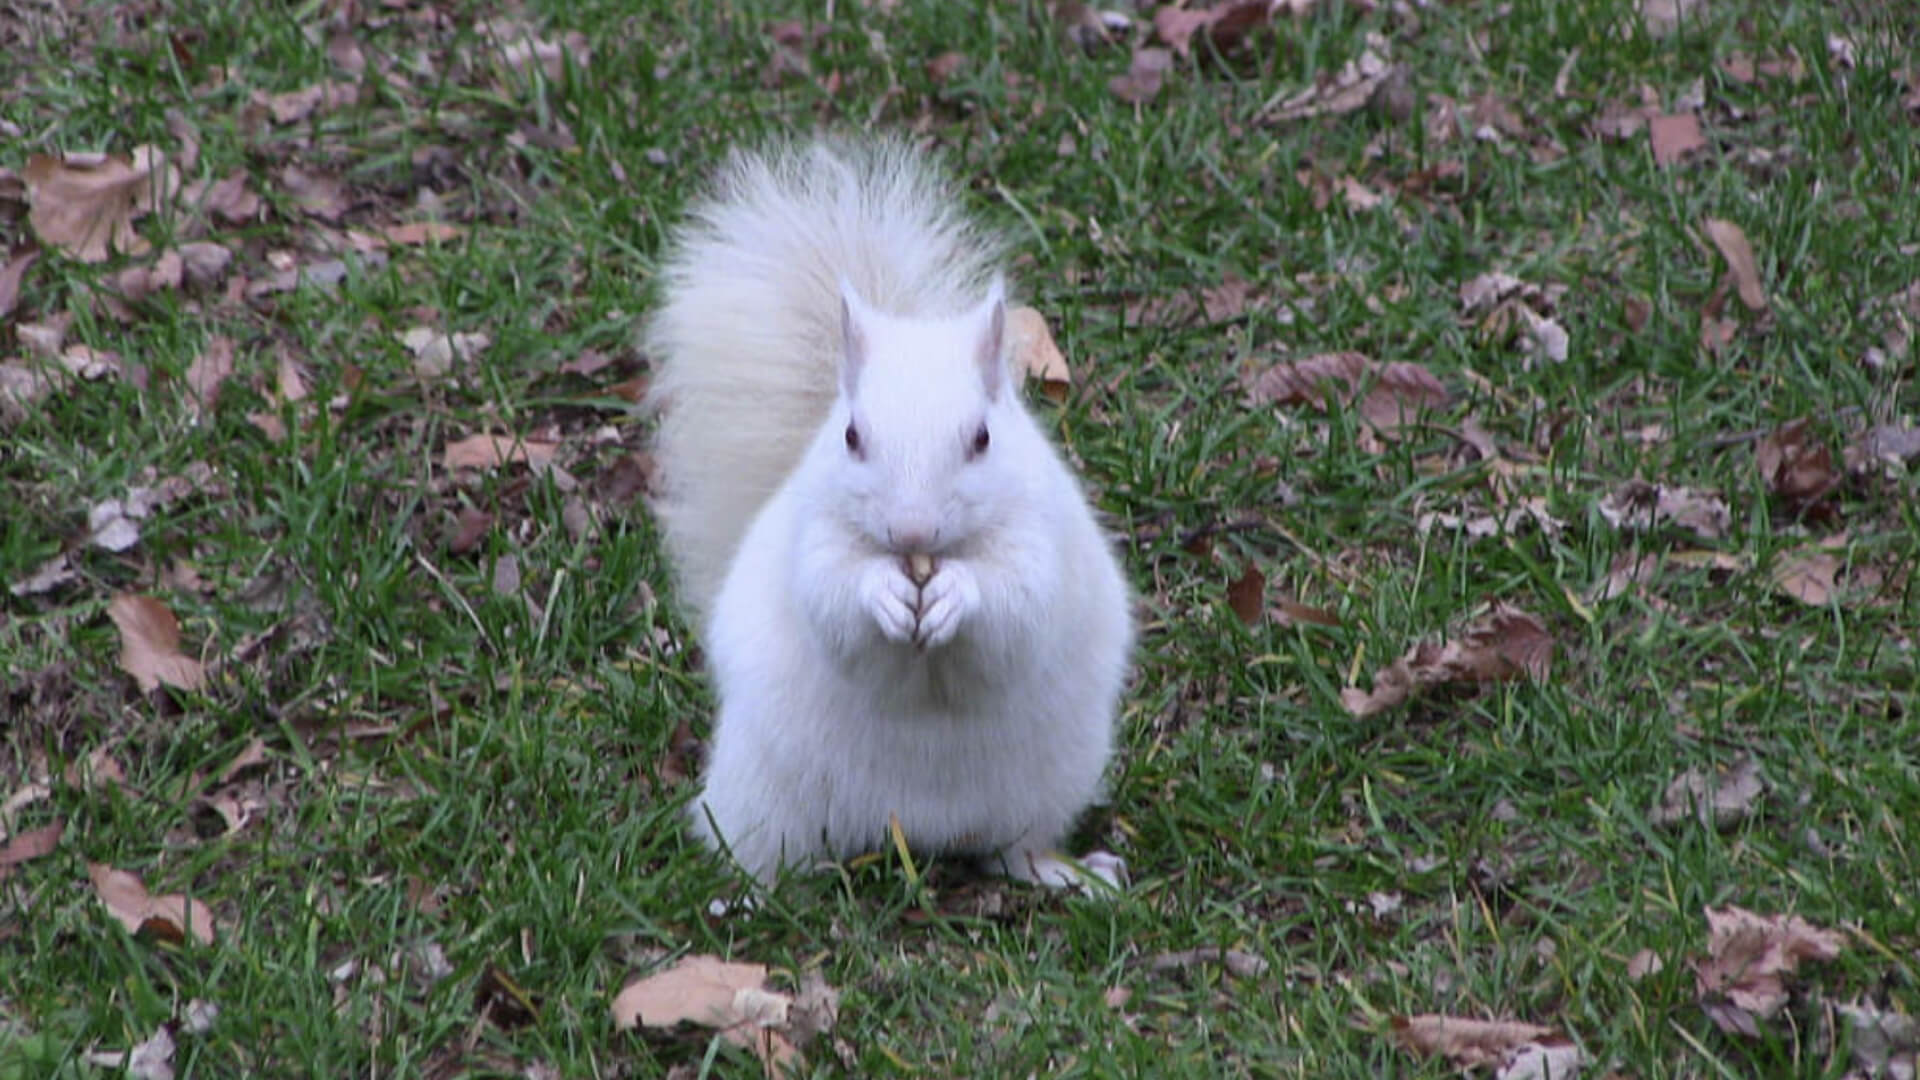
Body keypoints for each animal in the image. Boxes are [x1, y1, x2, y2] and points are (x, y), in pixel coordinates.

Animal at [645, 134, 1128, 887]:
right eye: (851, 436)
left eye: (982, 438)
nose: (911, 531)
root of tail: (915, 829)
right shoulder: (811, 534)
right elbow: (830, 599)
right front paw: (882, 594)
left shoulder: (1040, 535)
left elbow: (1020, 605)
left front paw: (959, 594)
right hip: (762, 792)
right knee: (755, 848)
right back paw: (757, 892)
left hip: (1051, 782)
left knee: (1013, 849)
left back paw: (1067, 873)